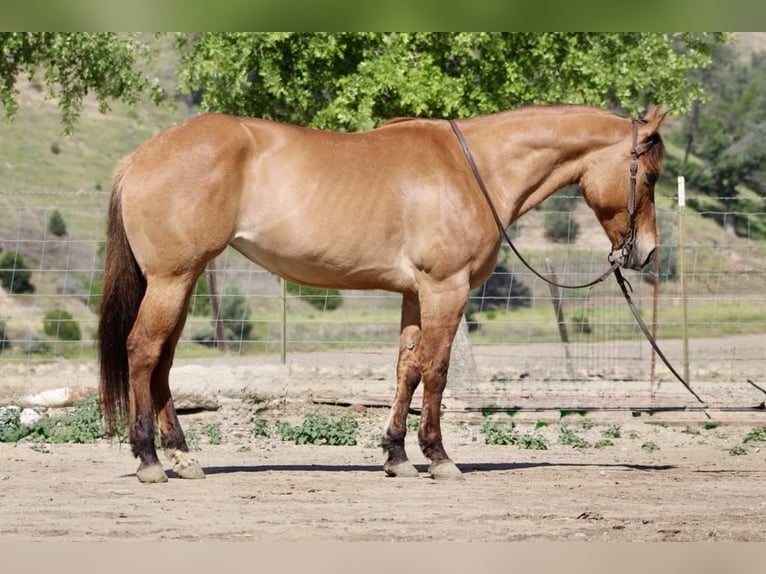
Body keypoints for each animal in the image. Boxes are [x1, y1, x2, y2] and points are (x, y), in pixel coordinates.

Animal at [98, 104, 667, 483]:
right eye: (651, 175)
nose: (647, 253)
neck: (475, 169)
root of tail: (140, 157)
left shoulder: (416, 294)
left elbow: (407, 369)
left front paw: (396, 455)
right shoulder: (445, 289)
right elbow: (437, 370)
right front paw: (438, 457)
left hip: (183, 281)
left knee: (163, 362)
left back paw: (182, 457)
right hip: (172, 280)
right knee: (142, 351)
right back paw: (149, 460)